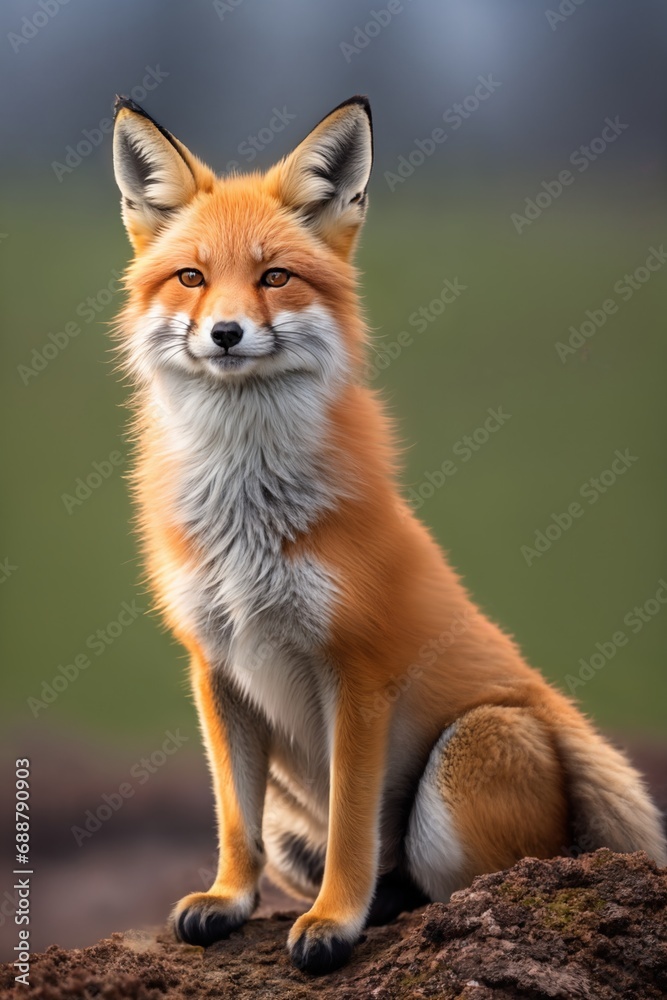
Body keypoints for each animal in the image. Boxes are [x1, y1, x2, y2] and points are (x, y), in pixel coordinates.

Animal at [111, 93, 666, 975]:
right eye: (192, 277)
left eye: (274, 276)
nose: (225, 333)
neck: (246, 513)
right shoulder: (214, 665)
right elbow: (233, 821)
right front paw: (229, 901)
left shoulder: (357, 670)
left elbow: (351, 828)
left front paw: (333, 923)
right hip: (292, 816)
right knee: (369, 872)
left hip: (470, 751)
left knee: (472, 880)